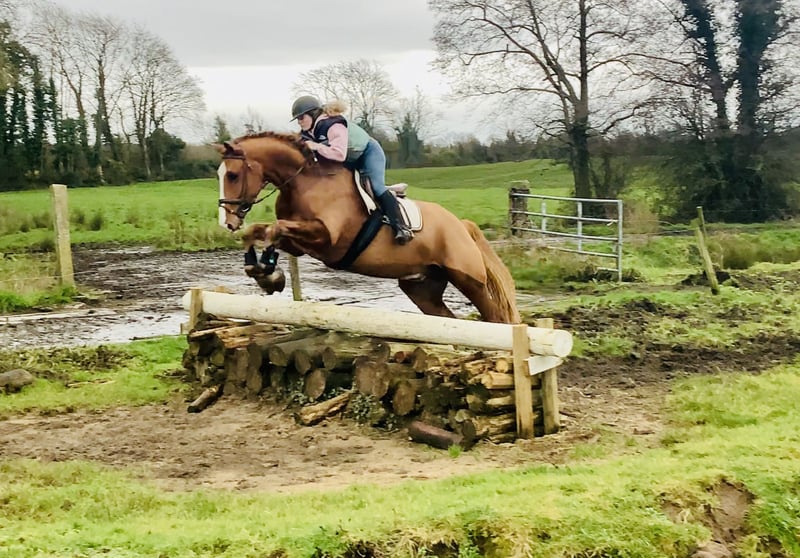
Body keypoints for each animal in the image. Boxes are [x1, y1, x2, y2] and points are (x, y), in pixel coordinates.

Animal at [215, 132, 521, 324]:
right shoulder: (301, 243)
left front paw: (268, 273)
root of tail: (461, 224)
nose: (227, 222)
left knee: (495, 318)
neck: (305, 181)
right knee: (447, 320)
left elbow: (274, 229)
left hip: (468, 278)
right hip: (422, 288)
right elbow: (262, 232)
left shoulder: (326, 238)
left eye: (233, 175)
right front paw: (264, 272)